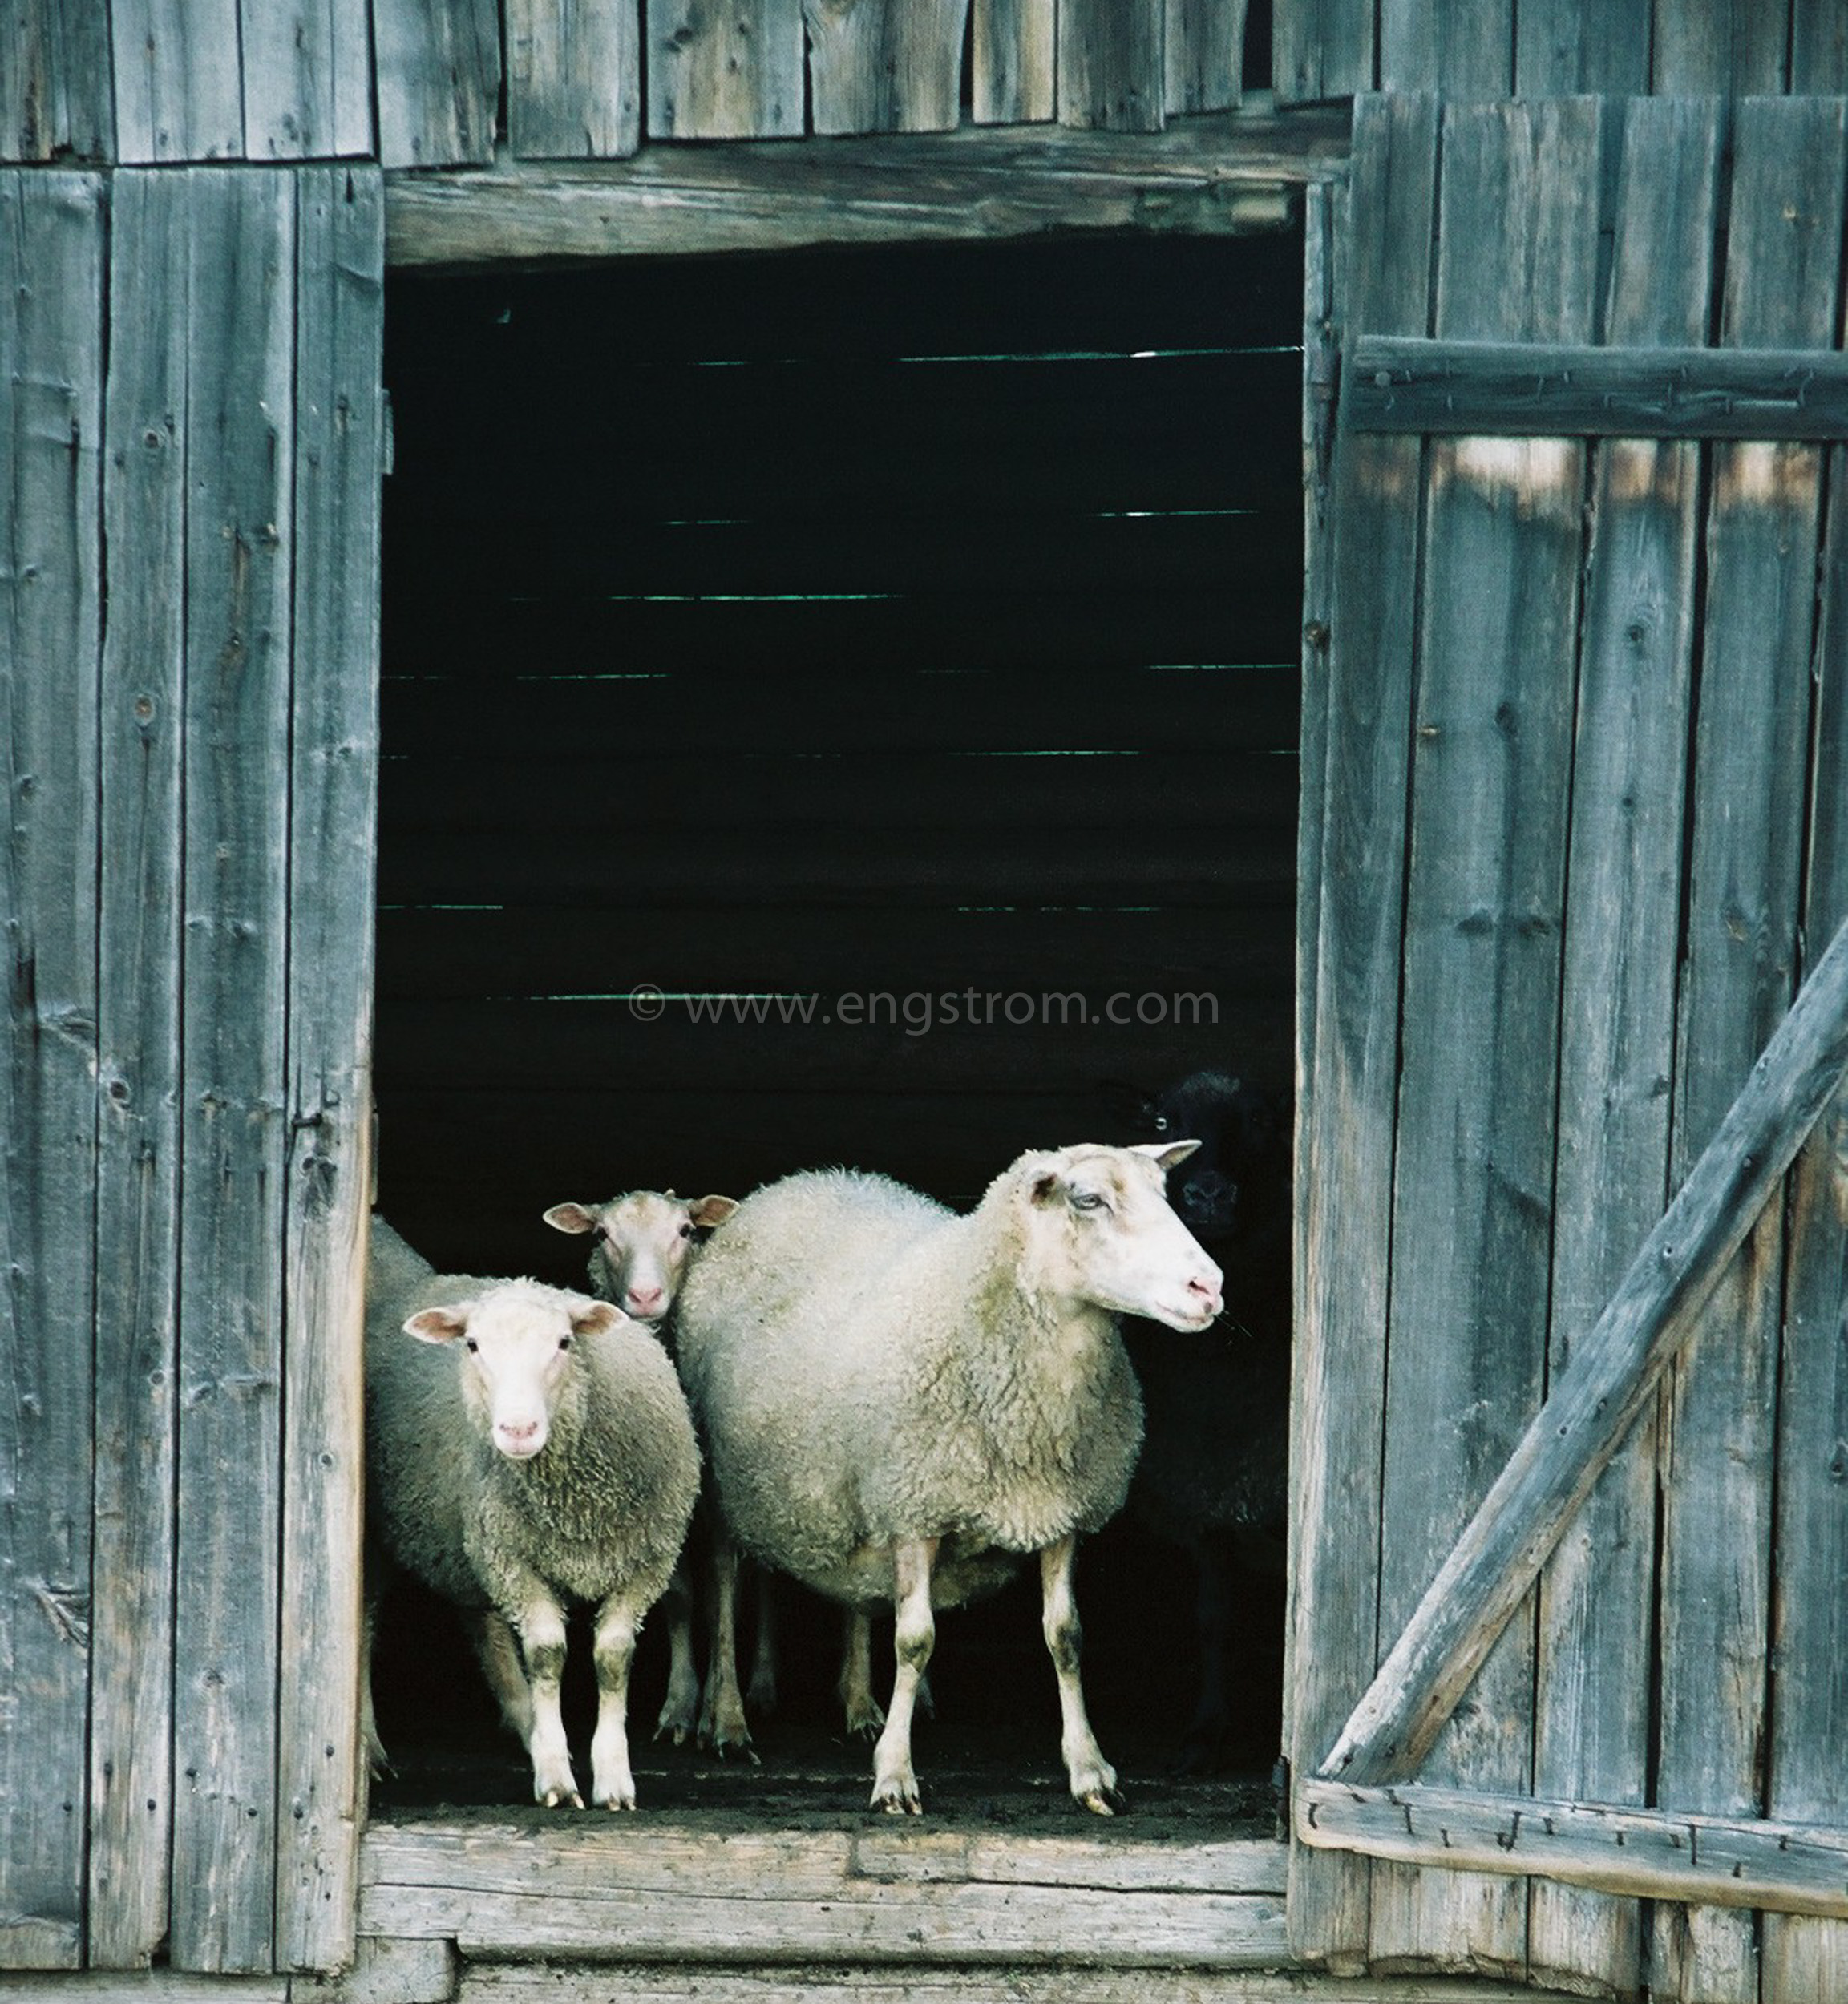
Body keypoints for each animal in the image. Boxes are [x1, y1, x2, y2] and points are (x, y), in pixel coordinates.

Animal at [361, 1210, 698, 1812]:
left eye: (564, 1342)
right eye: (472, 1345)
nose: (517, 1430)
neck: (578, 1502)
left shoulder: (644, 1563)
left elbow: (613, 1658)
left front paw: (612, 1776)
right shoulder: (515, 1560)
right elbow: (546, 1654)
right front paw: (557, 1776)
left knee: (483, 1624)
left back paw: (527, 1730)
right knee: (368, 1624)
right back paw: (372, 1749)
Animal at [669, 1146, 1219, 1820]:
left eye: (1164, 1192)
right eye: (1087, 1200)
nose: (1209, 1287)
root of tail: (800, 1181)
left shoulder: (1059, 1512)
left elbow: (1066, 1637)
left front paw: (1089, 1769)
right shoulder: (916, 1511)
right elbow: (914, 1641)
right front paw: (894, 1776)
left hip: (855, 1491)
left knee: (855, 1595)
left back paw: (860, 1707)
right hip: (728, 1484)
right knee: (723, 1586)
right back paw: (727, 1721)